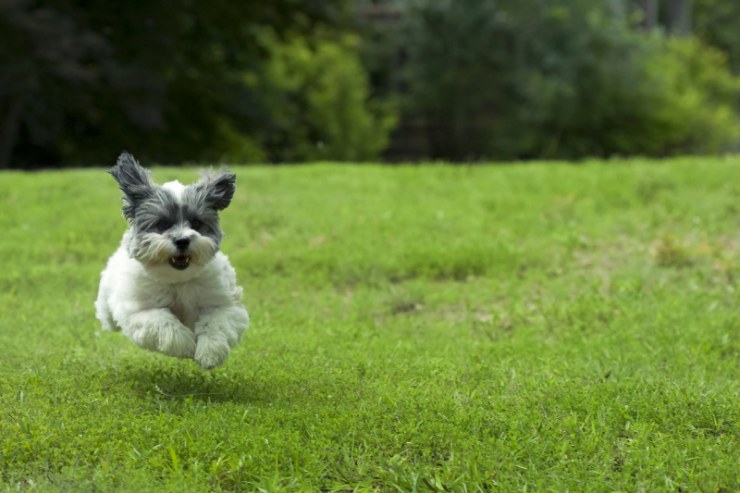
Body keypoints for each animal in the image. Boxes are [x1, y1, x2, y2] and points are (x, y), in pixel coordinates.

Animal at [94, 152, 249, 368]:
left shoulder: (225, 305)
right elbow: (163, 321)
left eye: (196, 223)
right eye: (161, 224)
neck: (177, 280)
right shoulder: (138, 311)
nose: (182, 240)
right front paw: (185, 346)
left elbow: (215, 323)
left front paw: (209, 353)